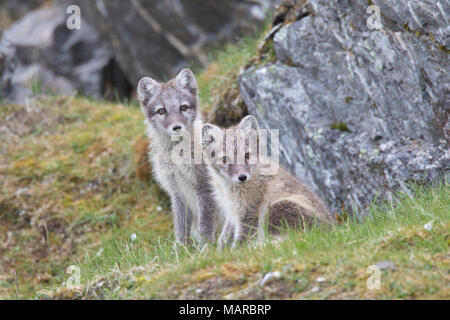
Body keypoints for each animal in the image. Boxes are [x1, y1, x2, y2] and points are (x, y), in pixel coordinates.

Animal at [138, 69, 219, 245]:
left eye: (183, 107)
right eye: (161, 111)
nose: (176, 127)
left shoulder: (204, 186)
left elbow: (205, 225)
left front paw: (207, 247)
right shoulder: (176, 191)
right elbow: (181, 228)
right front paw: (182, 249)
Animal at [202, 115, 332, 248]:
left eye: (247, 155)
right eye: (224, 159)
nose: (242, 177)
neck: (228, 189)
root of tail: (330, 229)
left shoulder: (249, 214)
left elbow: (240, 242)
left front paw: (235, 251)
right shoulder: (231, 211)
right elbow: (224, 237)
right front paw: (220, 250)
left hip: (276, 208)